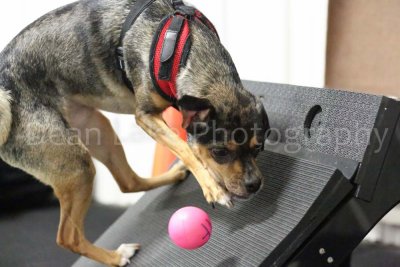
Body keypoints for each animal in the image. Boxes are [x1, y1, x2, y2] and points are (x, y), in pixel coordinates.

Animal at [0, 0, 268, 266]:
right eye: (219, 152)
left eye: (258, 148)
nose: (254, 185)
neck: (186, 50)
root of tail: (5, 91)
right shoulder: (145, 116)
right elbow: (186, 148)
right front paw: (212, 186)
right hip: (75, 164)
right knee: (68, 237)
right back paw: (116, 256)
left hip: (98, 129)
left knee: (128, 182)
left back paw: (173, 175)